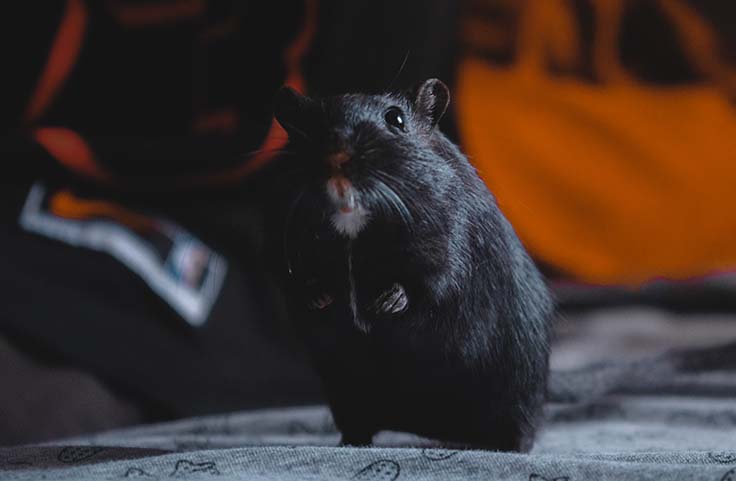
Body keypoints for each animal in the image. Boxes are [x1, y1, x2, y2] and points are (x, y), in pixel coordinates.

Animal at [268, 79, 553, 451]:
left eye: (396, 119)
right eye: (309, 125)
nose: (336, 157)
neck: (353, 221)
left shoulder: (448, 244)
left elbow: (431, 282)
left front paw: (386, 302)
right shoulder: (282, 243)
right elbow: (296, 281)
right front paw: (320, 297)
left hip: (516, 393)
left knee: (520, 432)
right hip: (346, 394)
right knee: (356, 424)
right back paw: (351, 444)